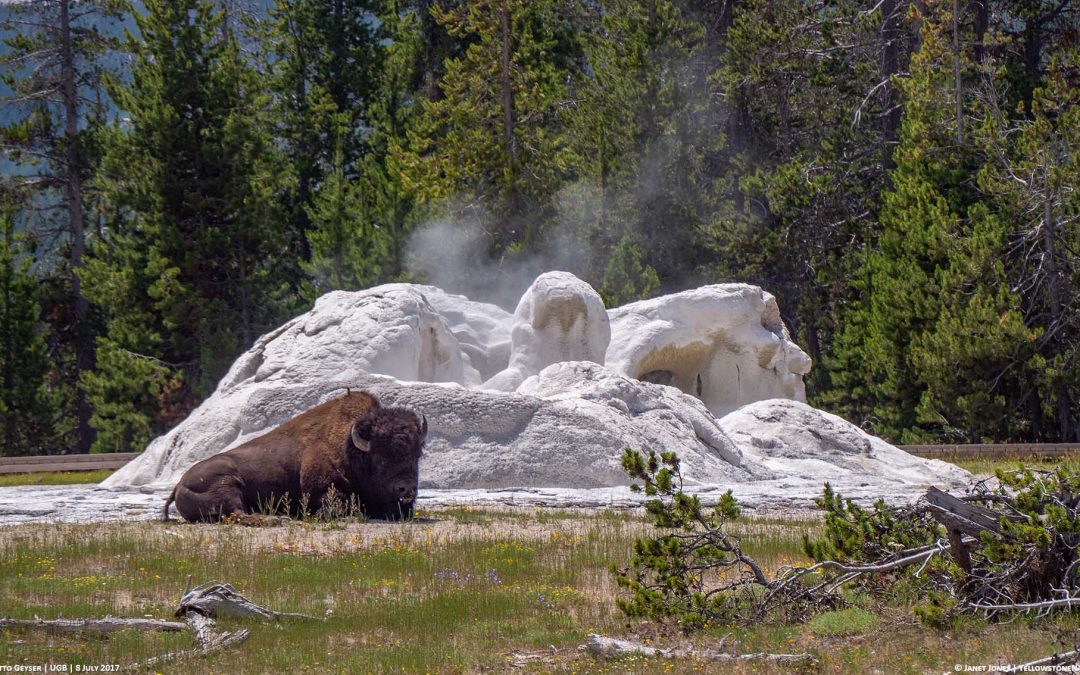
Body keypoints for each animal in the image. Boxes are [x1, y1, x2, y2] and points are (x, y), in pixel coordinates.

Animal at [164, 388, 425, 520]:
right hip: (227, 486)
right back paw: (277, 519)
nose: (406, 490)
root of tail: (178, 485)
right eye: (380, 459)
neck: (349, 449)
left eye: (417, 456)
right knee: (239, 514)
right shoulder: (320, 491)